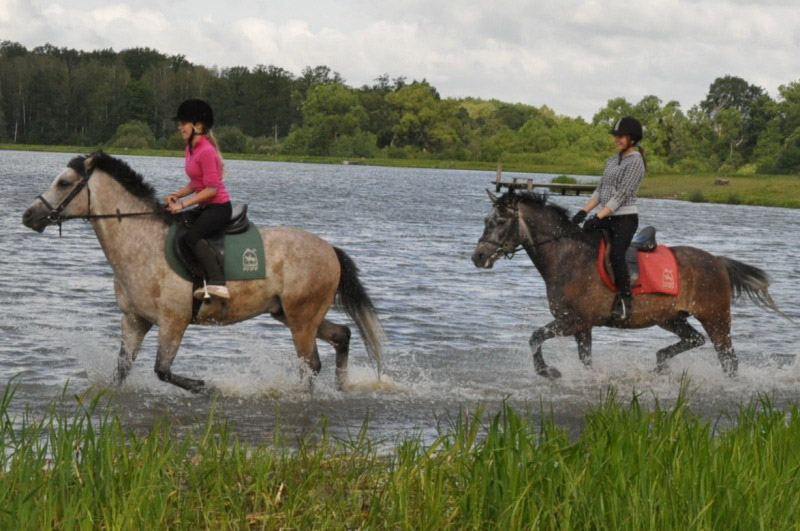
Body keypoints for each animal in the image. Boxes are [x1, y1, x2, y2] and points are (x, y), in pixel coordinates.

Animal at [18, 152, 382, 392]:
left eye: (64, 182)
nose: (28, 215)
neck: (140, 243)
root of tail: (330, 250)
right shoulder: (135, 320)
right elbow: (121, 370)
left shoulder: (173, 322)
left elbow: (163, 371)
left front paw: (205, 386)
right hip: (291, 314)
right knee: (342, 337)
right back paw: (342, 388)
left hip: (301, 318)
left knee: (311, 364)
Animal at [468, 190, 788, 378]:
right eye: (486, 220)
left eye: (499, 222)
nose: (478, 257)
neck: (567, 256)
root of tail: (718, 261)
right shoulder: (582, 326)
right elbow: (585, 359)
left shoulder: (574, 321)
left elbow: (535, 338)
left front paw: (548, 372)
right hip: (671, 317)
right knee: (694, 340)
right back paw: (660, 364)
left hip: (716, 318)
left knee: (728, 359)